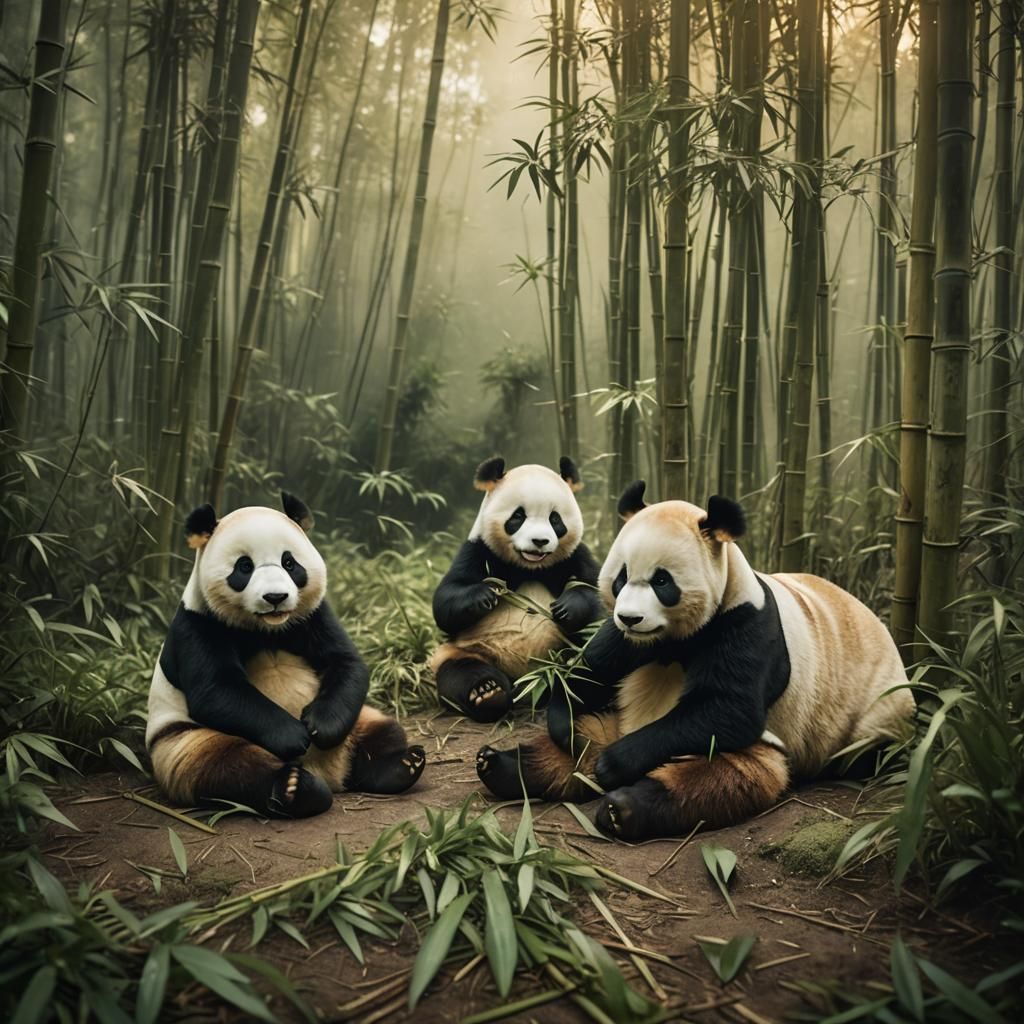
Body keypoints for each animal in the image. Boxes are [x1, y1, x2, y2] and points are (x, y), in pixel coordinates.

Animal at [146, 493, 426, 818]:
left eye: (289, 562)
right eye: (244, 567)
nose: (275, 598)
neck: (268, 628)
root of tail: (330, 775)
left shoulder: (313, 615)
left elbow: (345, 662)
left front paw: (320, 727)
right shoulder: (198, 625)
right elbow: (216, 689)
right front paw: (294, 736)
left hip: (359, 718)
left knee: (383, 730)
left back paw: (403, 764)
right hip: (186, 741)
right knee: (226, 768)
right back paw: (295, 788)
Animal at [429, 456, 605, 722]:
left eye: (555, 519)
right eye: (518, 516)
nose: (540, 541)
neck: (529, 567)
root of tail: (528, 685)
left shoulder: (575, 556)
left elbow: (601, 595)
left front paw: (567, 606)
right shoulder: (478, 550)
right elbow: (446, 601)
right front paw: (485, 595)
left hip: (568, 653)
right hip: (465, 652)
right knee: (460, 673)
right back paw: (488, 693)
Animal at [476, 483, 914, 839]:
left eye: (662, 581)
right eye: (621, 578)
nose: (629, 617)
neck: (674, 640)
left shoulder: (746, 626)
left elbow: (727, 710)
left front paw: (613, 767)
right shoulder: (630, 643)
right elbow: (593, 670)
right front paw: (563, 721)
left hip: (865, 714)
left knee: (719, 778)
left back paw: (622, 806)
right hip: (615, 720)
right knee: (582, 743)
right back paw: (501, 763)